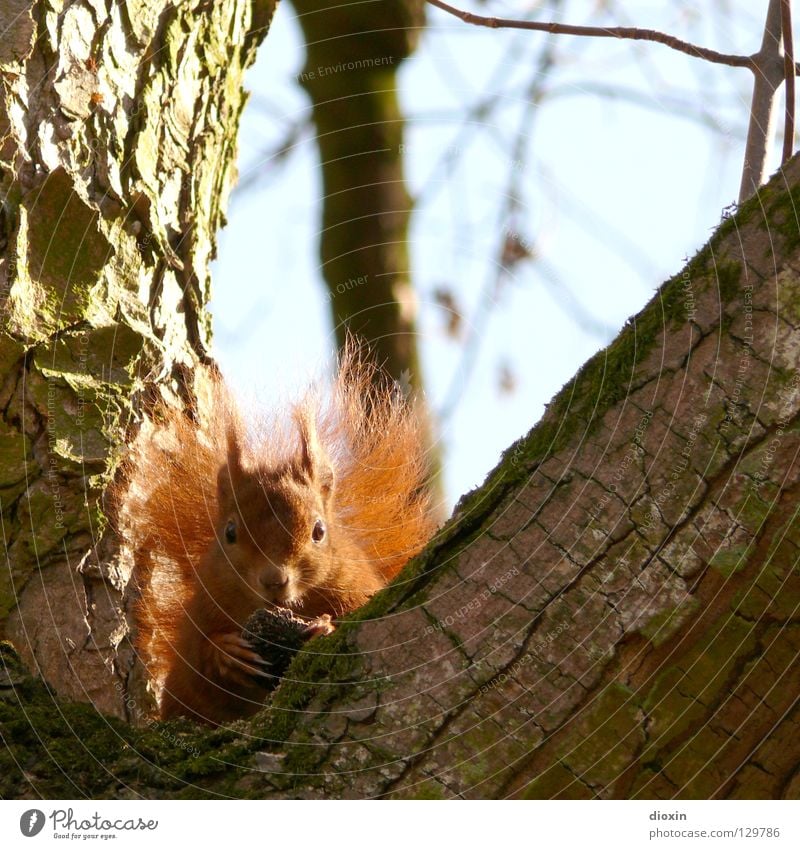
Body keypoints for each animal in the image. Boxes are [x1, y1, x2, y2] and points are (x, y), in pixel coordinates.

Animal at [115, 348, 434, 724]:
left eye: (319, 531)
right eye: (230, 532)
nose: (274, 580)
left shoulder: (356, 589)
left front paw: (323, 628)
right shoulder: (202, 607)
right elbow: (198, 660)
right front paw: (227, 653)